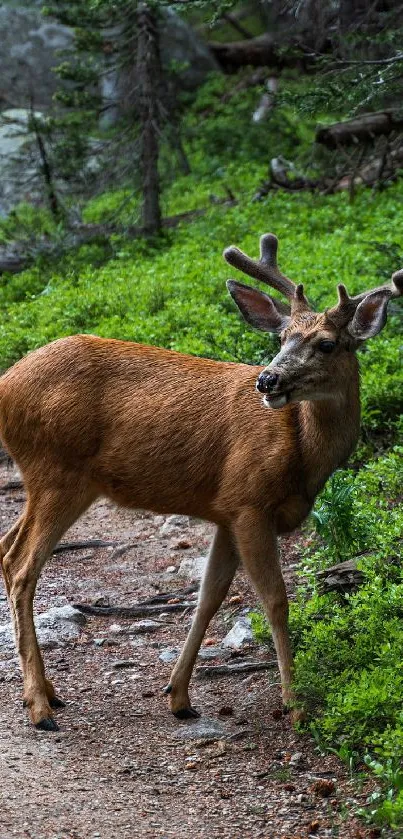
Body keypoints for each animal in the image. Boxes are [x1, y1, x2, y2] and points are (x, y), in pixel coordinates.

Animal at [0, 233, 403, 732]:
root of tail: (5, 385)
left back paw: (49, 693)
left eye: (327, 344)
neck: (303, 455)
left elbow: (208, 598)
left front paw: (179, 696)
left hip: (50, 481)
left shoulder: (227, 512)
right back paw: (39, 706)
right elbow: (275, 599)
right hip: (57, 472)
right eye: (282, 337)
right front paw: (295, 703)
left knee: (6, 545)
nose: (267, 379)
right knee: (21, 565)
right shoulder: (249, 501)